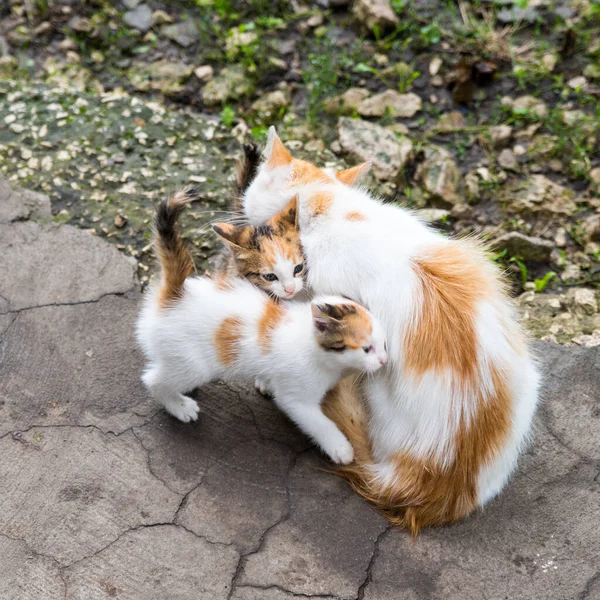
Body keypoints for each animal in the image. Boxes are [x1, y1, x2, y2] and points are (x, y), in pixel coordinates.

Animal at [136, 189, 386, 464]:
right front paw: (341, 448)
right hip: (192, 363)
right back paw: (179, 406)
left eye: (384, 345)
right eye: (366, 349)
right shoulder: (294, 396)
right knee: (153, 380)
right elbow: (318, 422)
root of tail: (175, 294)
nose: (385, 360)